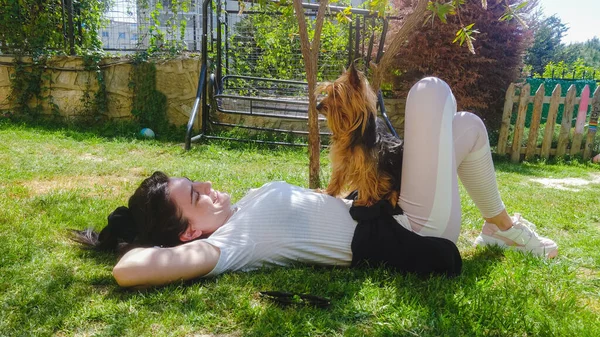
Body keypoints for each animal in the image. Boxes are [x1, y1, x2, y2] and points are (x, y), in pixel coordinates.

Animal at [314, 64, 404, 206]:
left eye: (336, 94)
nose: (318, 106)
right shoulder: (343, 158)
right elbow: (337, 176)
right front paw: (328, 192)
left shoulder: (368, 164)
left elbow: (368, 180)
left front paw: (365, 200)